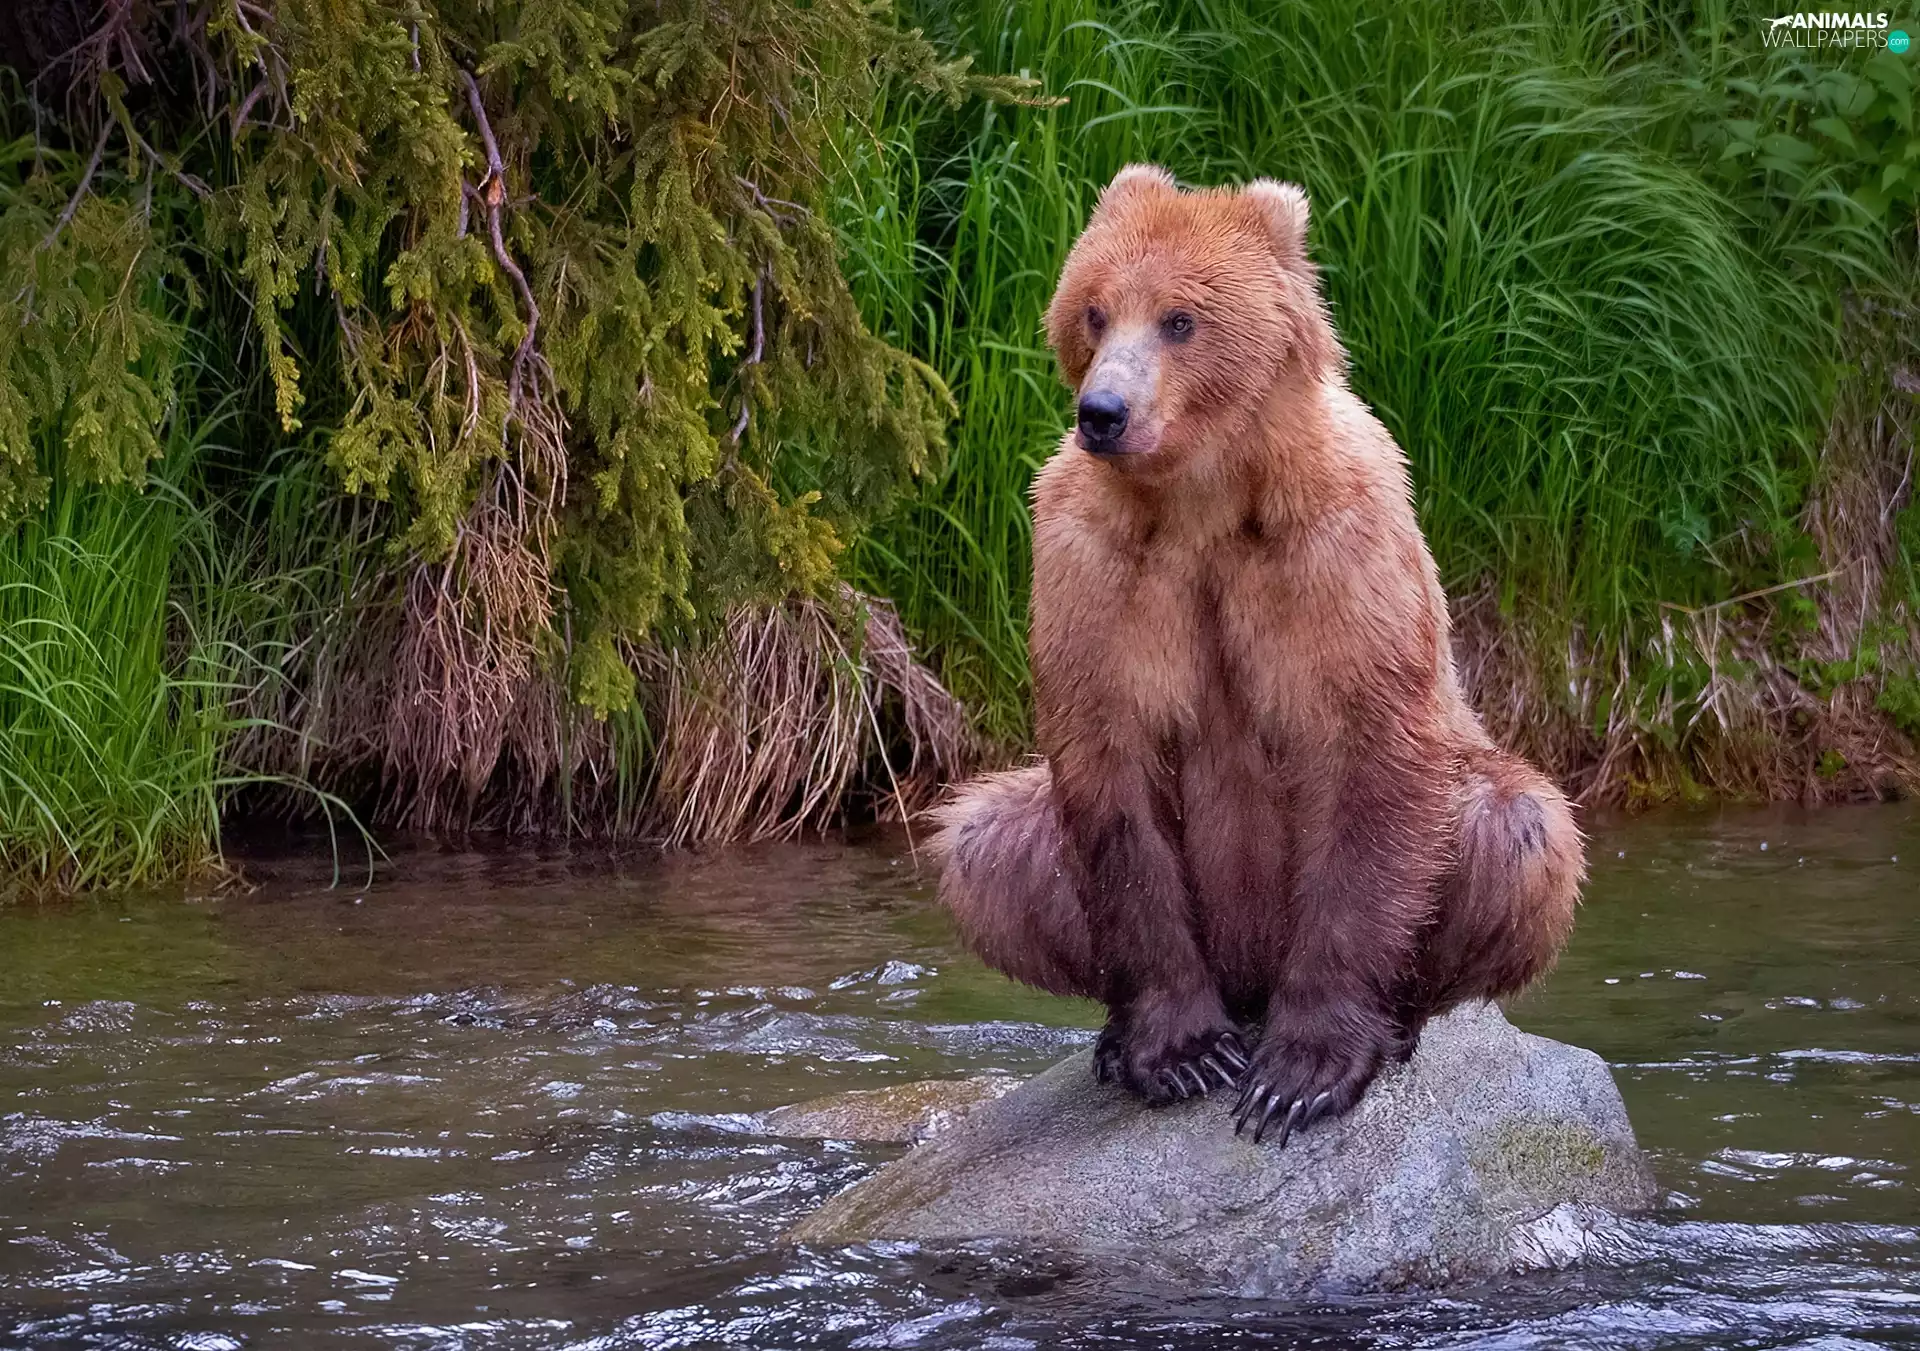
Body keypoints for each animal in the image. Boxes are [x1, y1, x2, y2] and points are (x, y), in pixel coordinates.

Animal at [930, 164, 1584, 1148]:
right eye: (1094, 310)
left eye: (1180, 318)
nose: (1103, 413)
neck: (1203, 499)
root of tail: (1250, 982)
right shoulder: (1093, 564)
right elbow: (1112, 770)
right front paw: (1181, 1051)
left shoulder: (1336, 549)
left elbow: (1371, 756)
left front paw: (1300, 1073)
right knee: (985, 840)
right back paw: (1116, 1036)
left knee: (1520, 825)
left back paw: (1398, 1021)